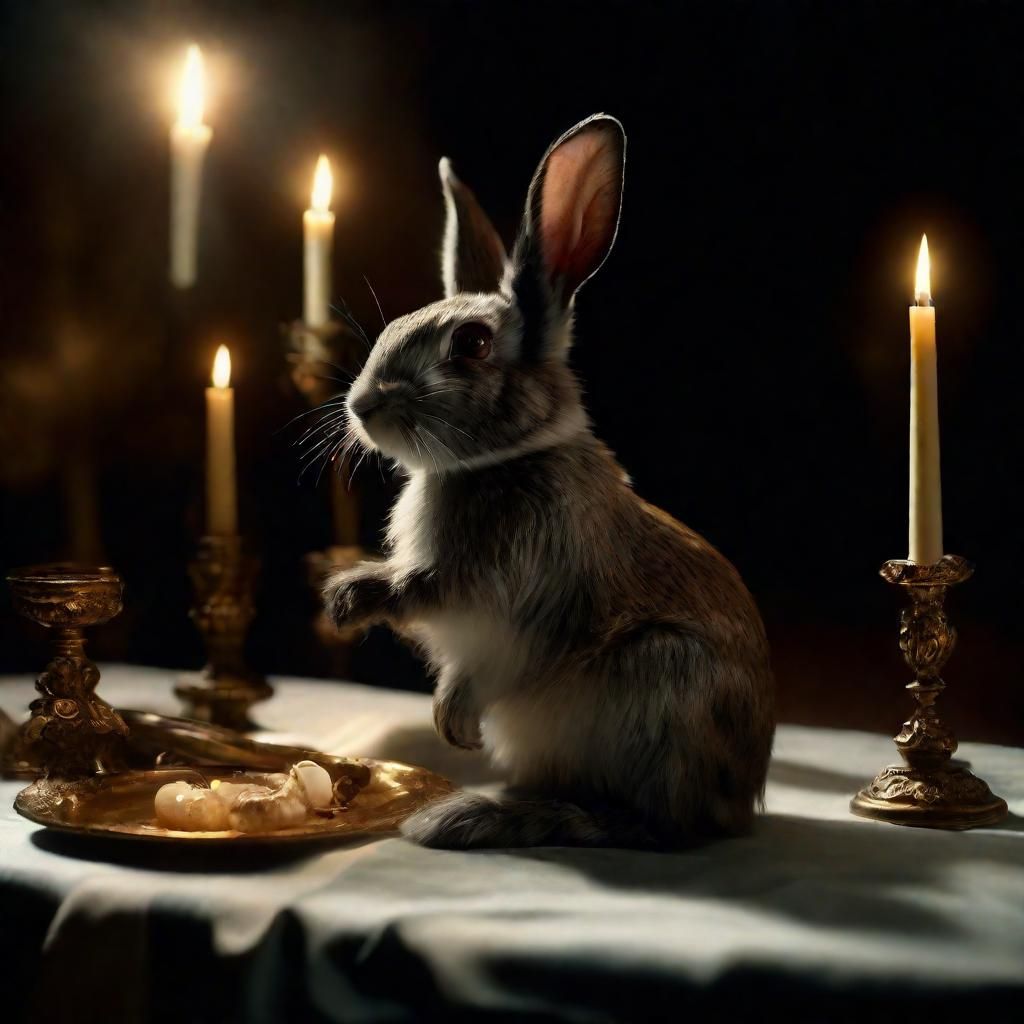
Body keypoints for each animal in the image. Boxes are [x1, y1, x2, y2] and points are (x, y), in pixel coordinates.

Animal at [323, 113, 775, 849]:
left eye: (471, 345)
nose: (362, 407)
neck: (502, 460)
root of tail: (742, 802)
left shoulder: (514, 599)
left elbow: (464, 646)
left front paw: (442, 712)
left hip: (664, 678)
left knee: (660, 828)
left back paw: (480, 818)